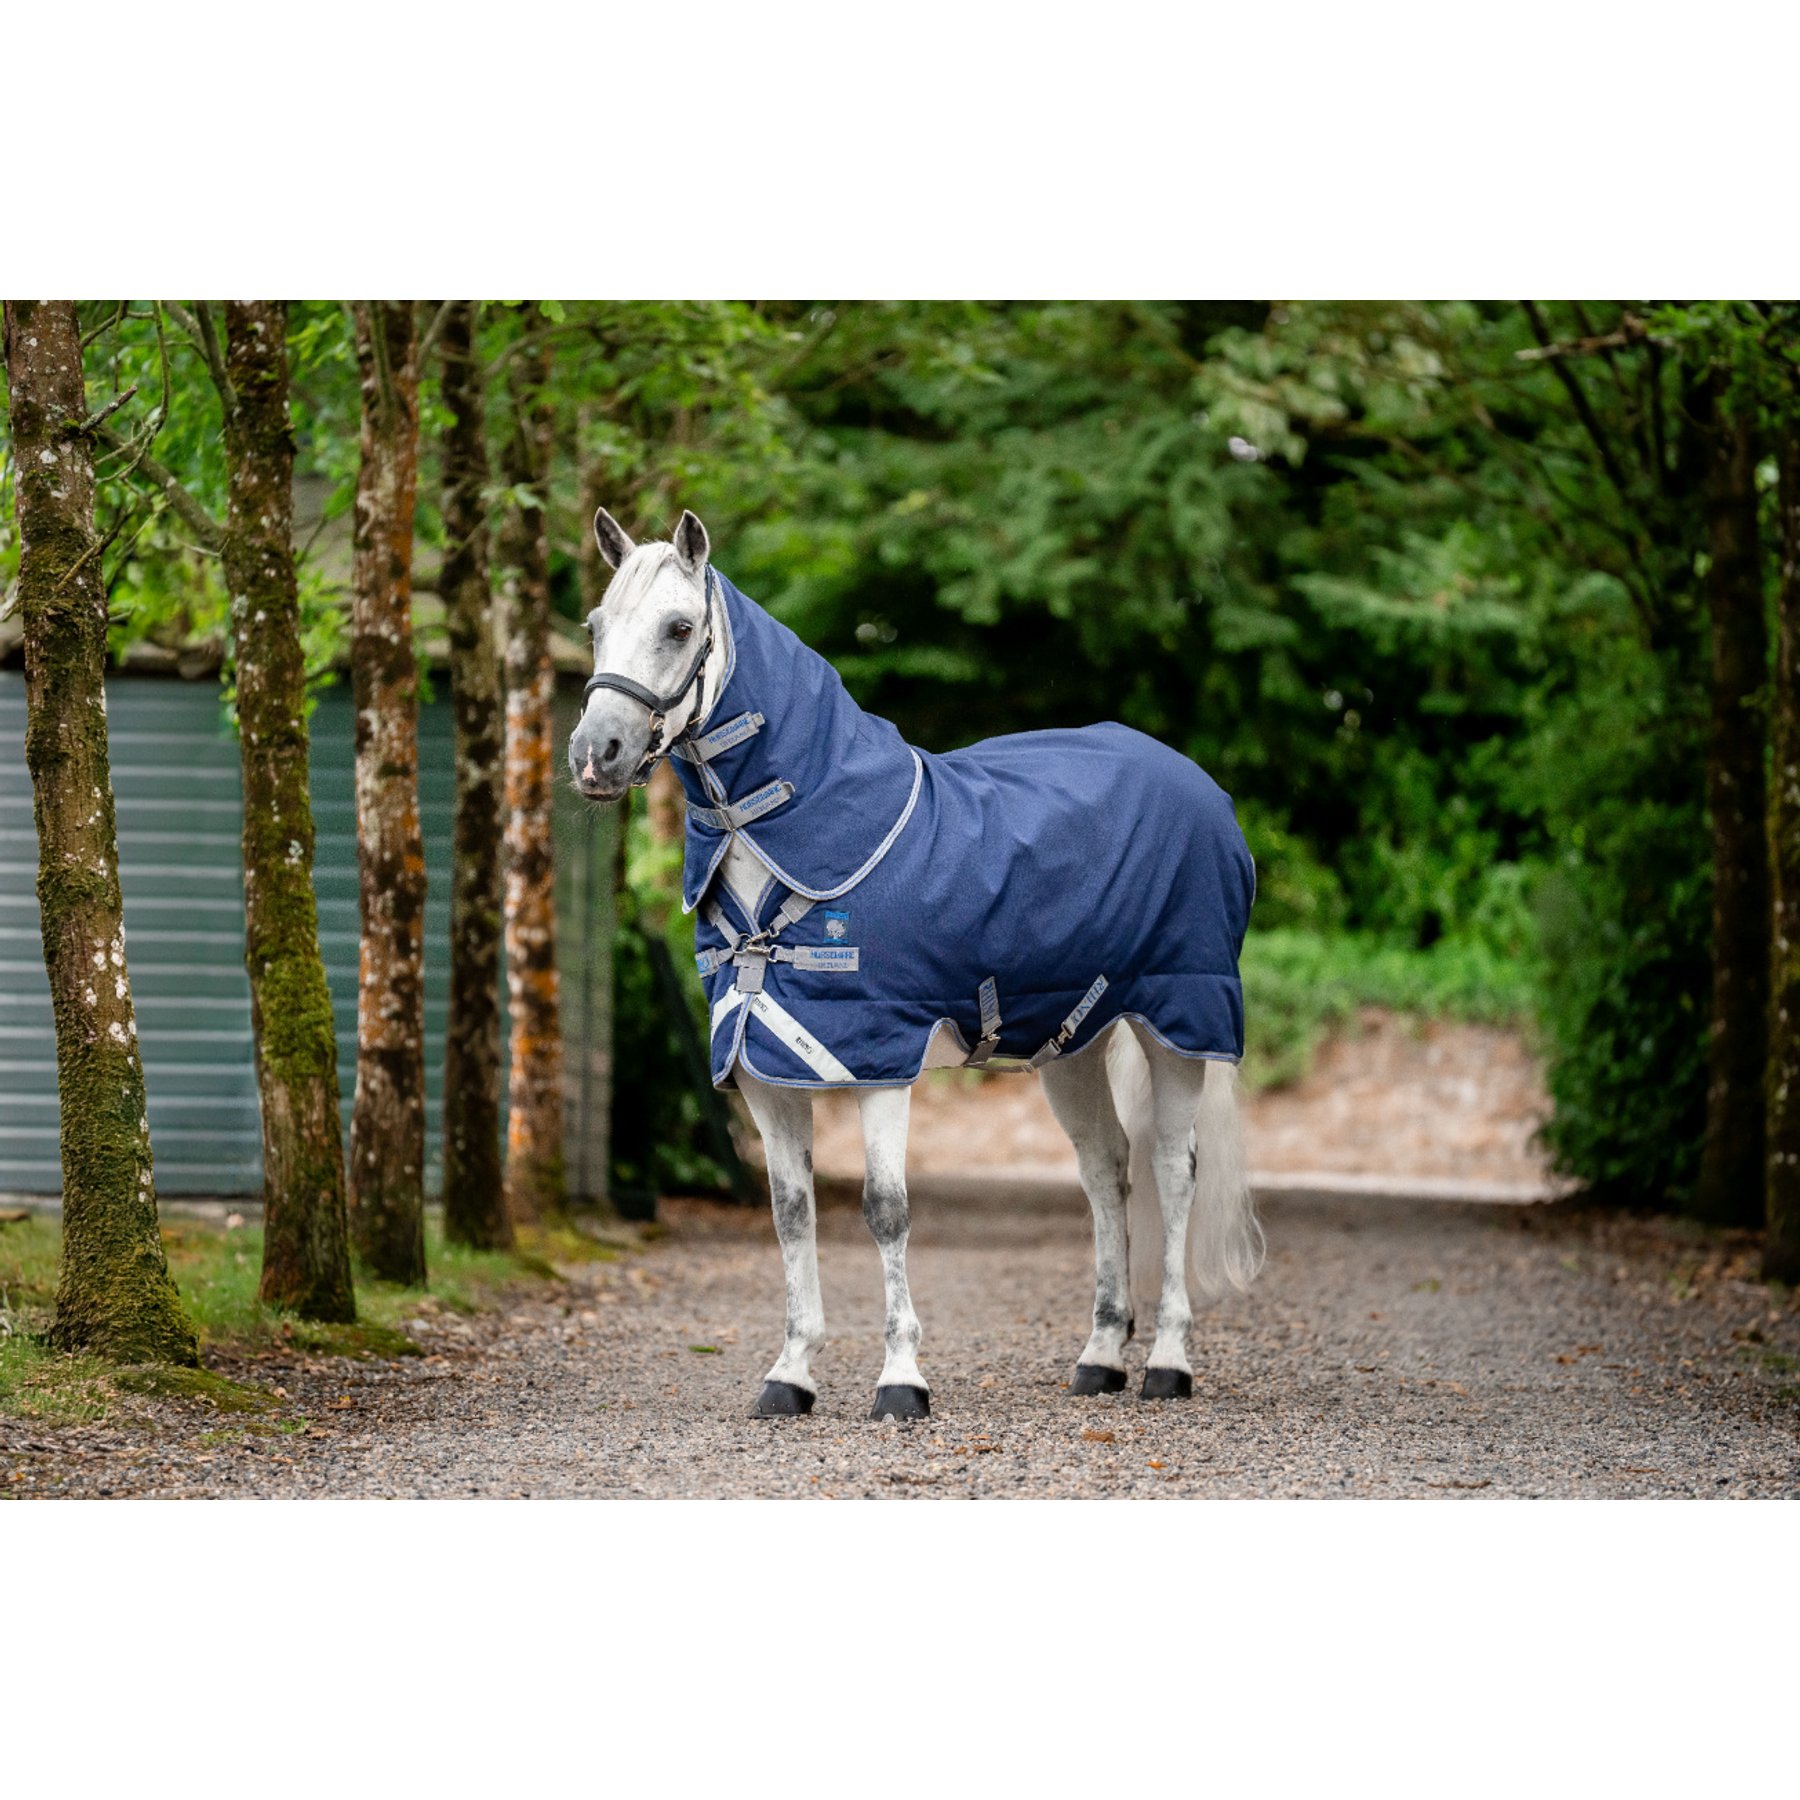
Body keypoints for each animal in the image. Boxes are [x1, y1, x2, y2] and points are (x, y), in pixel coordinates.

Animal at [569, 507, 1263, 1421]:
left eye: (679, 627)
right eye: (595, 626)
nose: (596, 754)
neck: (800, 847)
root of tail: (1201, 788)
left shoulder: (877, 1060)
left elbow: (886, 1210)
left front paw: (901, 1379)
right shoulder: (762, 1066)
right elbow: (791, 1213)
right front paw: (790, 1374)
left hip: (1178, 1024)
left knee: (1173, 1173)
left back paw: (1167, 1364)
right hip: (1072, 1044)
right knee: (1105, 1170)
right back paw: (1101, 1357)